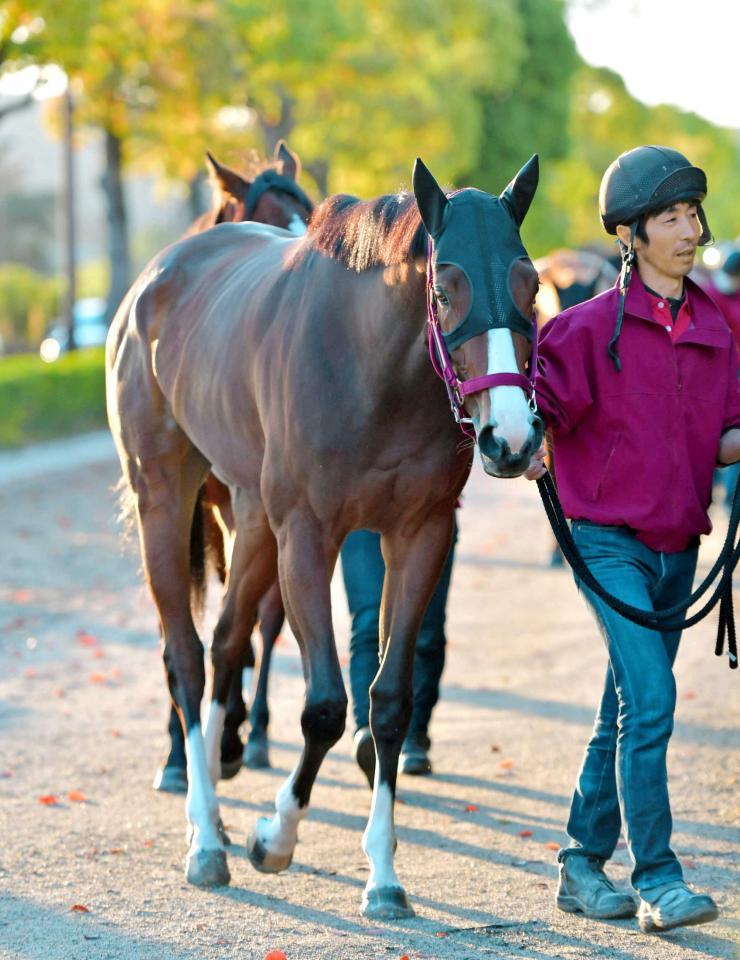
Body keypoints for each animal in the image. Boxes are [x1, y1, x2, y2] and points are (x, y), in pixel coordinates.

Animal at [105, 156, 544, 916]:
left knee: (226, 644)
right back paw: (205, 839)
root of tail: (156, 278)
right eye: (447, 287)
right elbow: (325, 707)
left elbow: (388, 702)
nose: (511, 439)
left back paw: (213, 802)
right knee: (186, 658)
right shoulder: (308, 538)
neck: (370, 367)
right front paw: (274, 838)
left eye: (532, 285)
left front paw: (384, 877)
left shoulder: (420, 535)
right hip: (163, 495)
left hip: (251, 516)